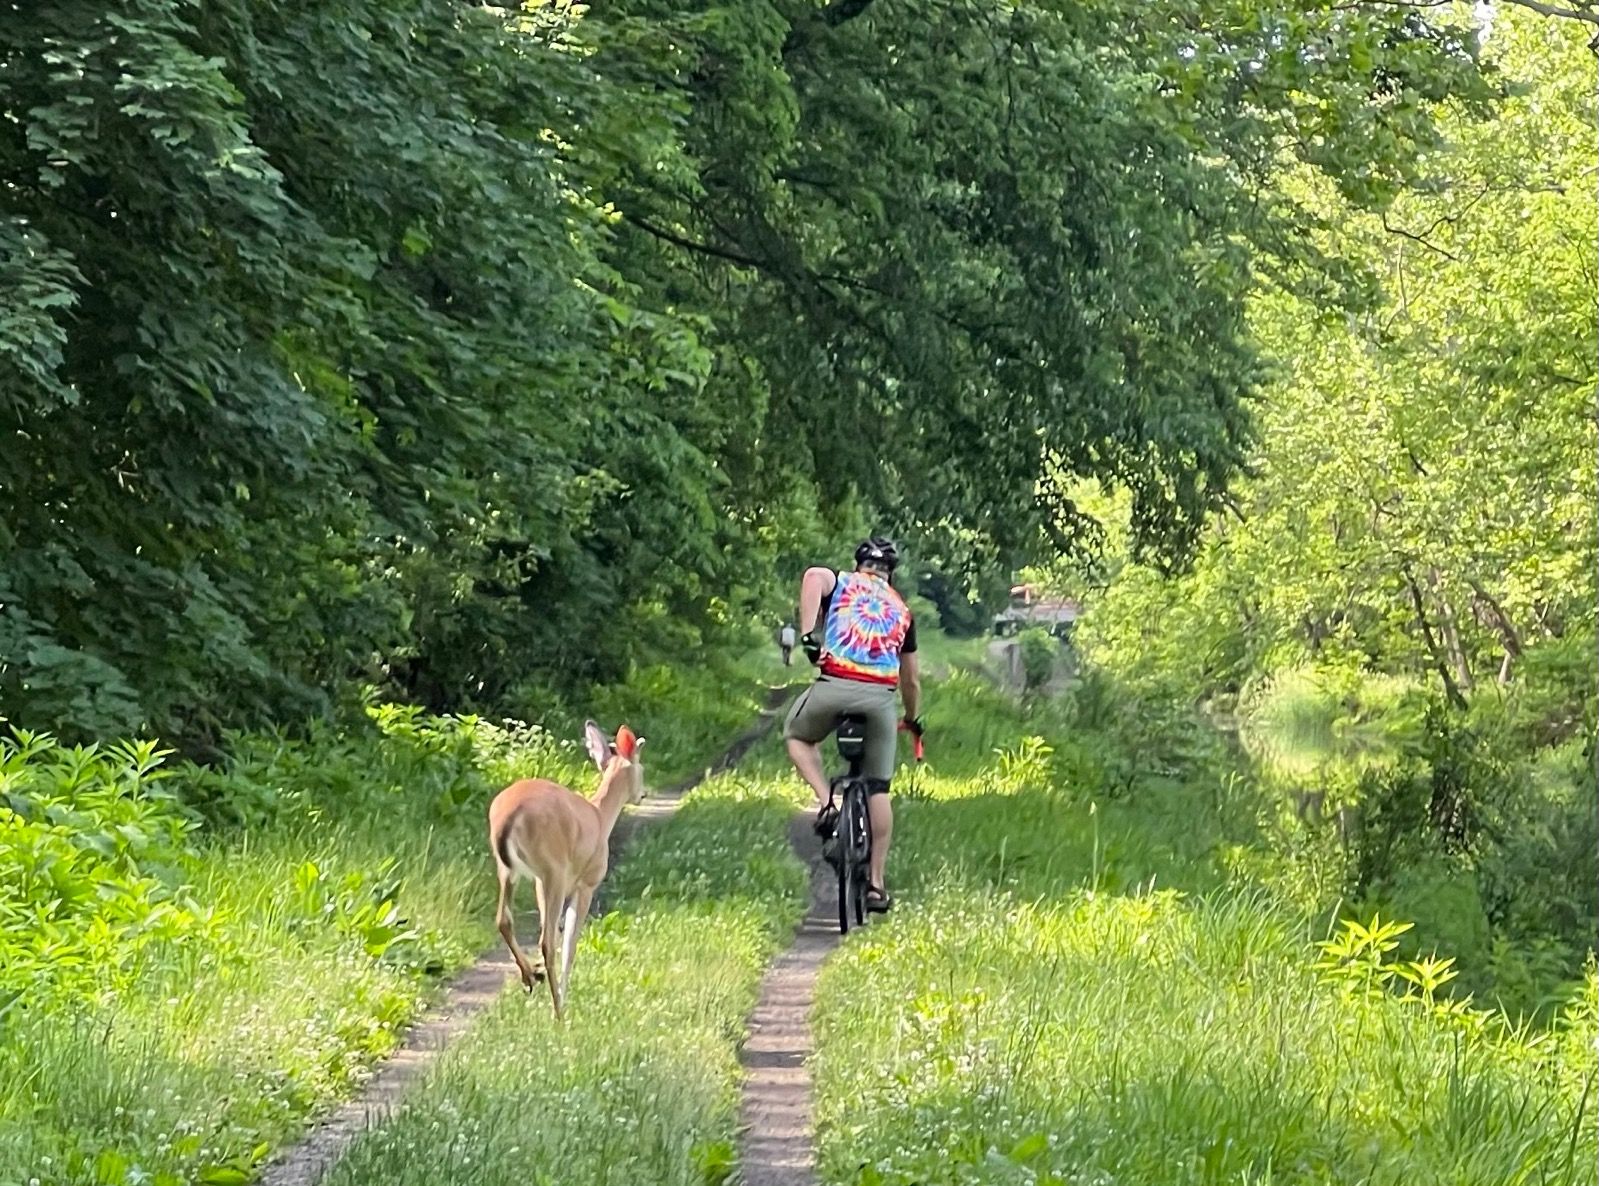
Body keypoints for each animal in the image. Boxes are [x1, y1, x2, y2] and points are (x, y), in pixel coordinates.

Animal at [487, 720, 647, 1018]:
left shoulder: (539, 881)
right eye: (642, 767)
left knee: (504, 919)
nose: (643, 794)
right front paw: (564, 999)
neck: (600, 816)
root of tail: (508, 816)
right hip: (554, 869)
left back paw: (530, 976)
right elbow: (570, 942)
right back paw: (558, 1011)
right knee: (547, 941)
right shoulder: (587, 883)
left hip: (511, 870)